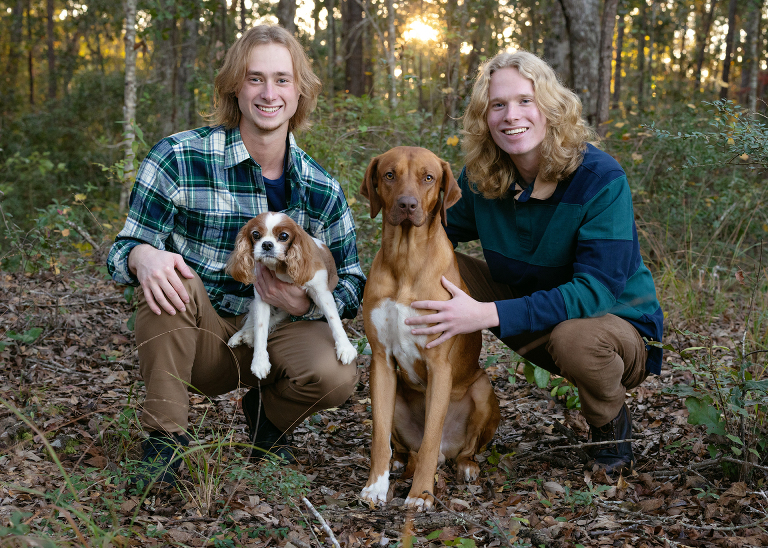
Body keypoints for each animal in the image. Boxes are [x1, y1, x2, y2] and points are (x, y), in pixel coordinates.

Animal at [226, 212, 358, 379]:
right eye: (255, 234)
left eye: (283, 236)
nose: (267, 244)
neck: (280, 268)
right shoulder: (261, 297)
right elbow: (260, 327)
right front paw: (260, 362)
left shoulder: (321, 292)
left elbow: (334, 319)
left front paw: (345, 347)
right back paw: (243, 334)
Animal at [358, 147, 500, 510]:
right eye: (390, 174)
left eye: (428, 177)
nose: (407, 205)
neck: (406, 258)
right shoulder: (380, 361)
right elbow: (379, 436)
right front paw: (375, 486)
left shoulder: (440, 366)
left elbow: (431, 437)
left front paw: (421, 494)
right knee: (405, 447)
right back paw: (398, 462)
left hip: (482, 388)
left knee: (456, 450)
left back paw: (466, 466)